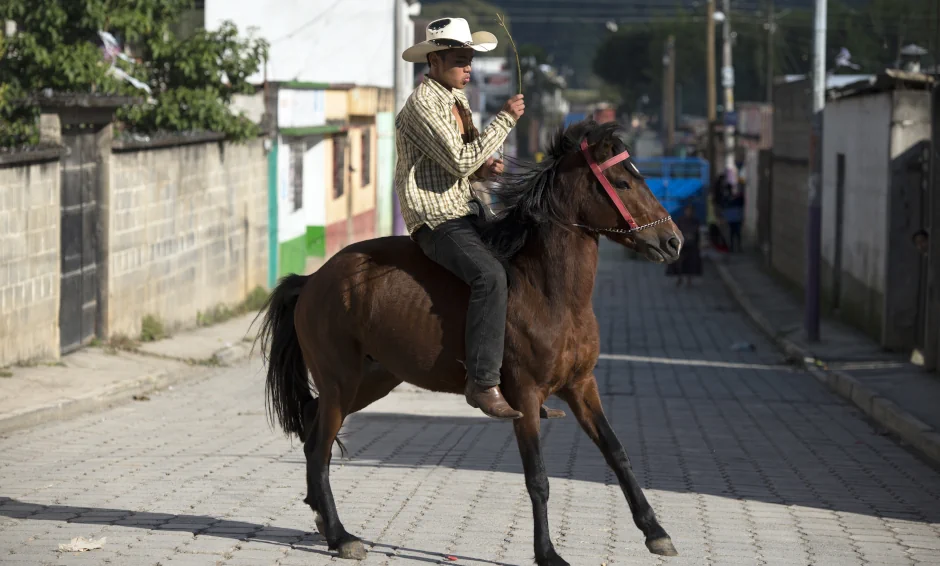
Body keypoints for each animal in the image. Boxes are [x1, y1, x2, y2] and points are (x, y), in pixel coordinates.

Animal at [258, 121, 684, 566]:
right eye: (622, 181)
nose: (674, 241)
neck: (549, 291)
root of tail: (313, 280)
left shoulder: (582, 386)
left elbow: (617, 452)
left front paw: (656, 532)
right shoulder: (525, 396)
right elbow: (538, 478)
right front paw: (548, 552)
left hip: (370, 381)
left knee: (312, 427)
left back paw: (323, 521)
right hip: (341, 383)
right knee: (319, 448)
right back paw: (341, 536)